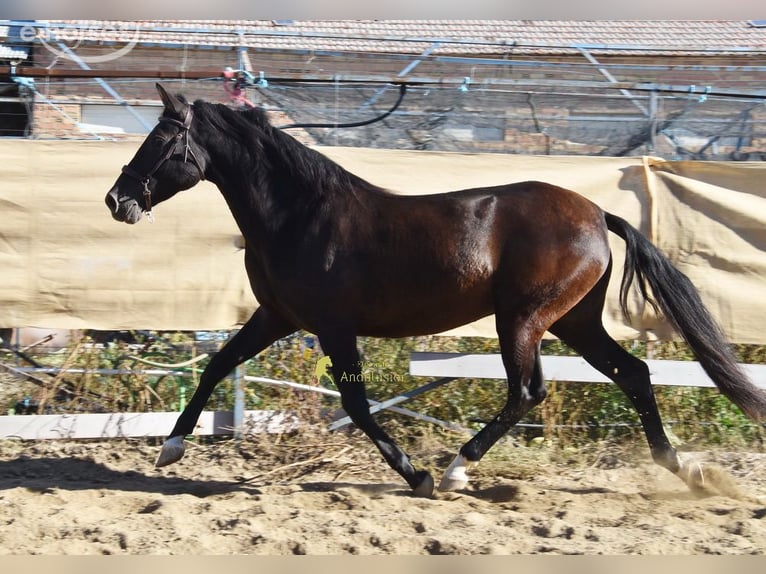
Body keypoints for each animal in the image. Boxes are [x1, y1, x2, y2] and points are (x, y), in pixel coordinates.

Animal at [105, 84, 766, 497]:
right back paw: (682, 468)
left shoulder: (334, 327)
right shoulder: (277, 316)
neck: (301, 214)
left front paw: (416, 476)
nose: (117, 200)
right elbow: (217, 364)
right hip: (573, 321)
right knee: (632, 374)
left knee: (528, 391)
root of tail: (598, 214)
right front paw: (169, 449)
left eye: (160, 141)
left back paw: (454, 472)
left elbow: (356, 404)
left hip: (522, 319)